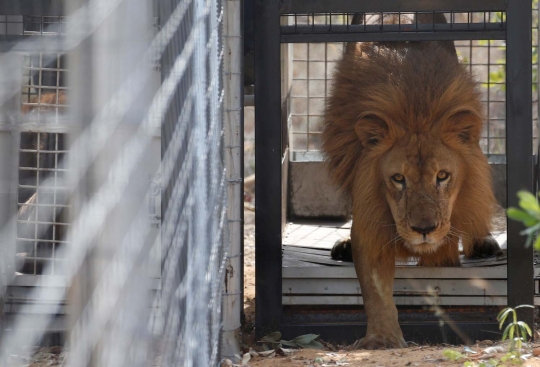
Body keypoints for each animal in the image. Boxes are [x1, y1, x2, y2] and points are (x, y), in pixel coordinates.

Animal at [320, 13, 502, 350]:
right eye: (398, 178)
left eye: (442, 176)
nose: (424, 230)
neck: (417, 112)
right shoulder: (370, 222)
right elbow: (375, 291)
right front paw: (382, 338)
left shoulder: (445, 241)